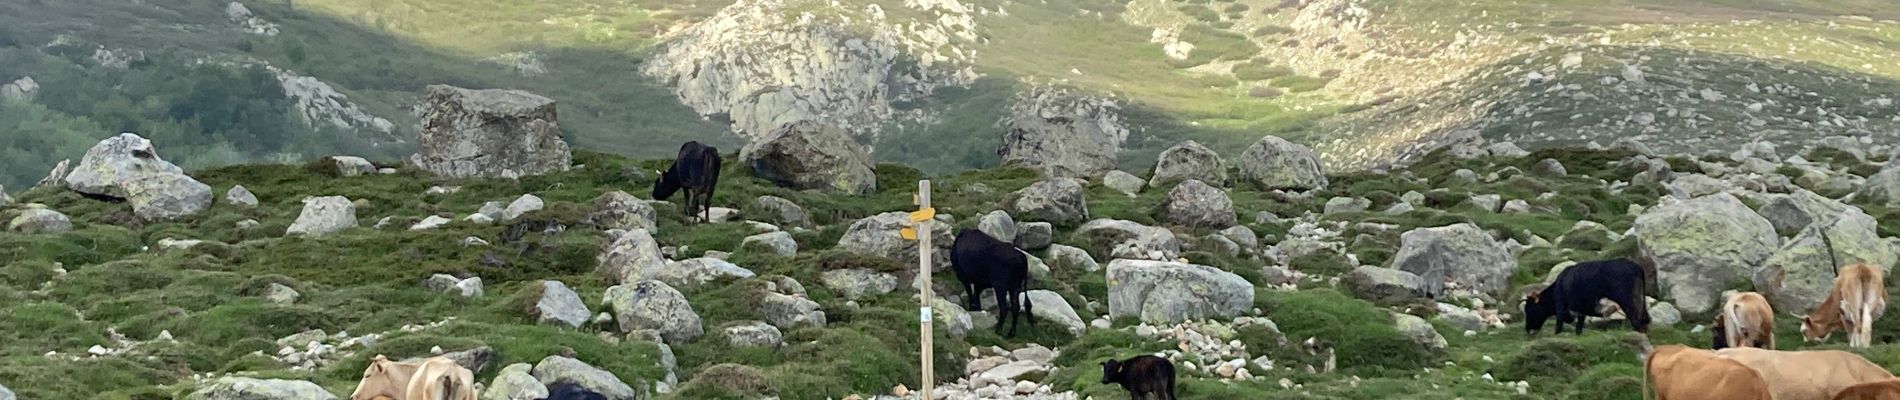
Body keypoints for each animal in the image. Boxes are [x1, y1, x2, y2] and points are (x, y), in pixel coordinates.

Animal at [1520, 257, 1656, 335]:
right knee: (1644, 318)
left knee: (1636, 319)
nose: (1527, 329)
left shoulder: (1561, 306)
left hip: (1626, 300)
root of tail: (1636, 267)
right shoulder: (1581, 310)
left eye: (1530, 309)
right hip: (1639, 298)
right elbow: (1579, 327)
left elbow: (1559, 325)